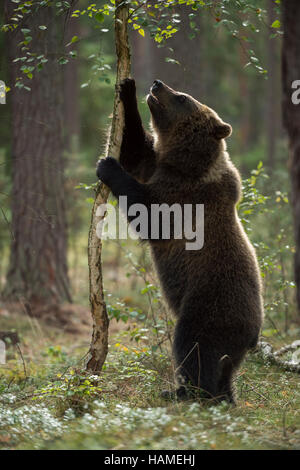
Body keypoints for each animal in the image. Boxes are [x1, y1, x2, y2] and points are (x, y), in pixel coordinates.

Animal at [97, 78, 264, 404]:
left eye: (184, 97)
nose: (157, 84)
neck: (186, 164)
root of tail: (253, 336)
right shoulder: (155, 165)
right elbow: (134, 150)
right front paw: (126, 87)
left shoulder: (186, 197)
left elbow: (151, 214)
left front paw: (107, 165)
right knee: (224, 366)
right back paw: (223, 395)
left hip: (209, 305)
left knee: (194, 346)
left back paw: (184, 391)